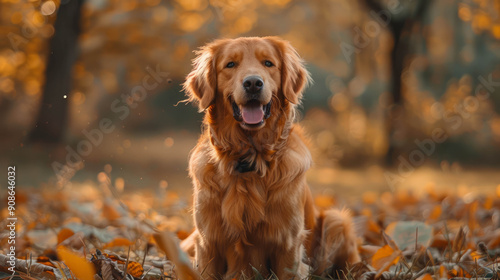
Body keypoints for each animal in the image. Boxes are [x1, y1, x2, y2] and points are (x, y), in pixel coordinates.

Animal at [182, 36, 362, 278]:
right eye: (230, 64)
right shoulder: (207, 242)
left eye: (268, 63)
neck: (250, 157)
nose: (253, 83)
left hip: (337, 221)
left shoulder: (288, 244)